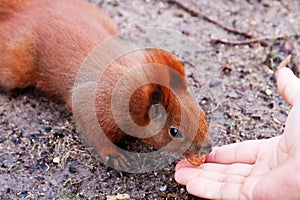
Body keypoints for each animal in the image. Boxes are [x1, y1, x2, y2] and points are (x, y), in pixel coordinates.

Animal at [0, 0, 212, 170]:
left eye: (203, 115)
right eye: (174, 132)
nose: (208, 148)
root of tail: (34, 8)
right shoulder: (98, 103)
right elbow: (94, 130)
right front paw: (113, 155)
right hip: (15, 64)